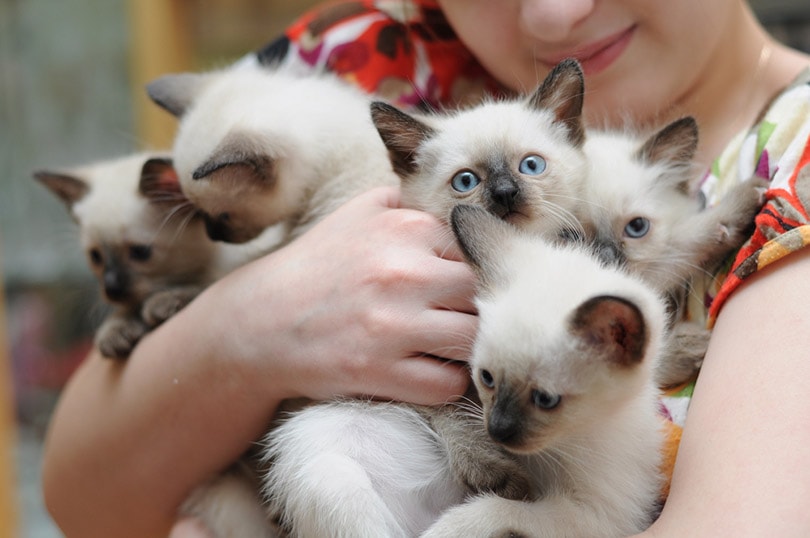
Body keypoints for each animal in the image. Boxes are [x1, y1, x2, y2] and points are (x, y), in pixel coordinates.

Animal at [32, 153, 215, 358]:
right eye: (95, 256)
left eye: (140, 252)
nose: (111, 288)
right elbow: (124, 309)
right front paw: (115, 331)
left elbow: (203, 283)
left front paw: (164, 300)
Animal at [420, 202, 664, 536]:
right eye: (487, 378)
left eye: (546, 400)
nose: (497, 430)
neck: (560, 444)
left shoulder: (599, 518)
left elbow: (504, 509)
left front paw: (450, 527)